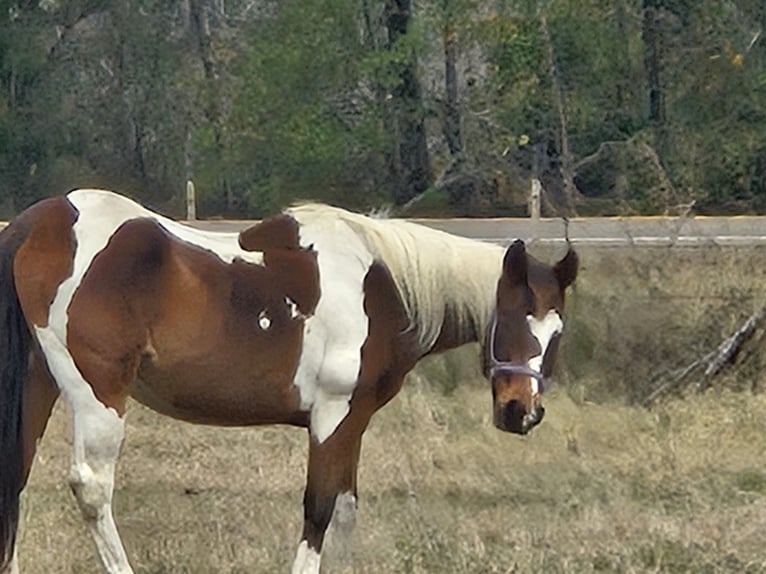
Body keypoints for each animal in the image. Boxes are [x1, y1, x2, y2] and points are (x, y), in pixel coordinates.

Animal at [0, 190, 580, 574]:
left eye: (556, 334)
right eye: (514, 318)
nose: (521, 412)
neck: (382, 289)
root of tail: (35, 224)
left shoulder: (354, 423)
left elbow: (344, 511)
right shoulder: (332, 415)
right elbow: (319, 508)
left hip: (38, 384)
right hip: (96, 392)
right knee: (93, 487)